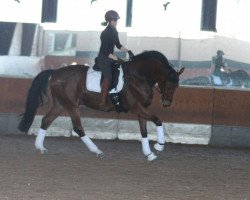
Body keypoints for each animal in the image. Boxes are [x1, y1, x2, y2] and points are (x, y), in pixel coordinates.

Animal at [18, 50, 185, 162]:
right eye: (169, 84)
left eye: (177, 86)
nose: (166, 103)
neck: (139, 77)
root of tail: (55, 73)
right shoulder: (136, 107)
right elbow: (158, 120)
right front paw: (160, 146)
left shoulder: (141, 109)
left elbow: (143, 131)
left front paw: (149, 153)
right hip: (71, 105)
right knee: (78, 127)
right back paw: (96, 151)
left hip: (61, 104)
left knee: (46, 120)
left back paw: (40, 147)